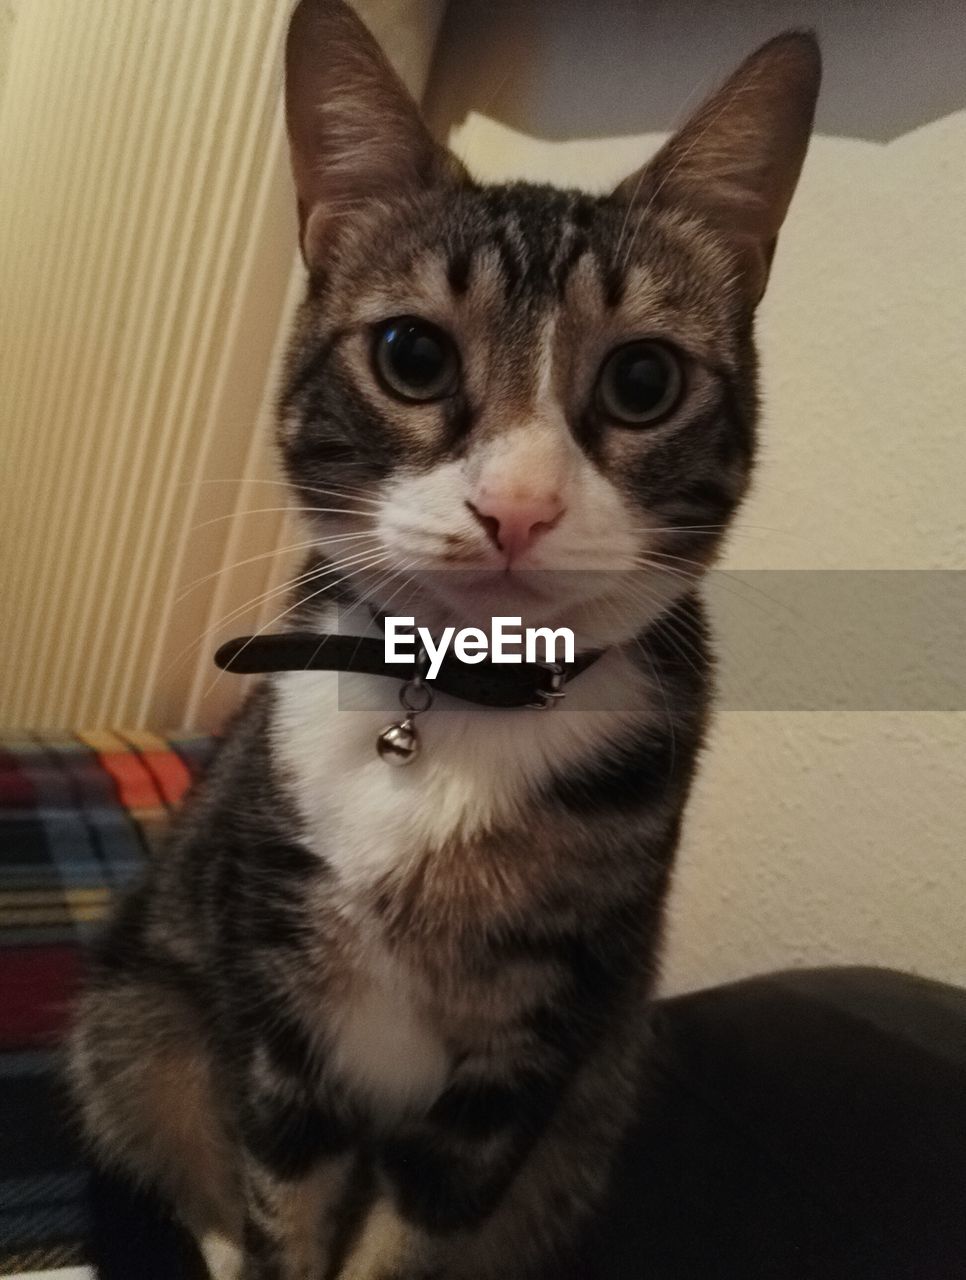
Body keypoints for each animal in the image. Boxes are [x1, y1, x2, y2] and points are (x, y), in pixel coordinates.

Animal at [70, 5, 823, 1274]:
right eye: (412, 356)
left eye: (644, 378)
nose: (516, 506)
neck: (461, 713)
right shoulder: (279, 1029)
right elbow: (277, 1211)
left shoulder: (521, 1073)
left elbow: (408, 1241)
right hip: (137, 1011)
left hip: (589, 1118)